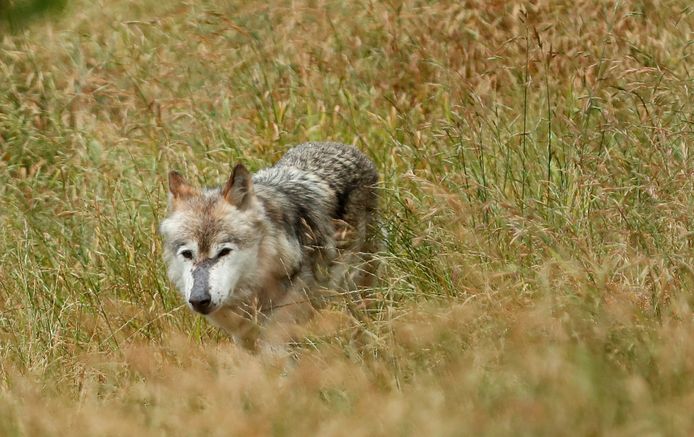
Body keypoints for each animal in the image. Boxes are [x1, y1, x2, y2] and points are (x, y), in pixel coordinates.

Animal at [160, 143, 380, 350]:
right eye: (187, 254)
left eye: (224, 252)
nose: (199, 300)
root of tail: (344, 147)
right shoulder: (243, 338)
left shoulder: (278, 335)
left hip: (355, 291)